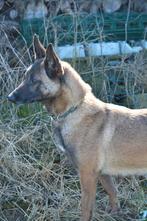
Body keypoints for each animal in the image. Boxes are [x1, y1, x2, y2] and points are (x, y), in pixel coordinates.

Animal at [7, 35, 147, 220]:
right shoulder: (102, 174)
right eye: (24, 77)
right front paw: (115, 213)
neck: (74, 110)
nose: (9, 97)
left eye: (34, 81)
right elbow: (113, 193)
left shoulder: (87, 175)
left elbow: (86, 208)